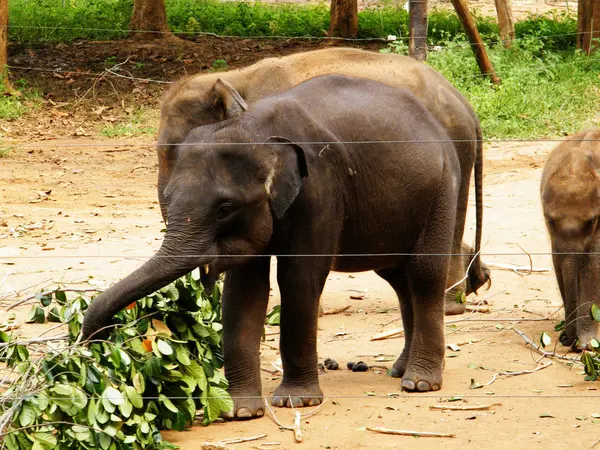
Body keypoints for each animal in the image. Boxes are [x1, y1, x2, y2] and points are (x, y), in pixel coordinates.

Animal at [82, 74, 462, 422]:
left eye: (225, 208)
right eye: (169, 197)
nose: (96, 343)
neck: (254, 127)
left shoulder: (319, 189)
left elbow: (299, 278)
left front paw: (297, 402)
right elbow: (244, 289)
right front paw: (239, 411)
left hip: (443, 187)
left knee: (424, 273)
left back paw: (420, 383)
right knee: (398, 278)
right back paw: (400, 370)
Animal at [156, 45, 492, 312]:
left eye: (176, 150)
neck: (235, 79)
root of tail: (466, 106)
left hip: (450, 152)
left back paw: (449, 305)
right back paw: (470, 286)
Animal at [540, 128, 600, 350]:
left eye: (590, 222)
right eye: (550, 220)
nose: (566, 340)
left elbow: (593, 265)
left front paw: (587, 346)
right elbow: (559, 261)